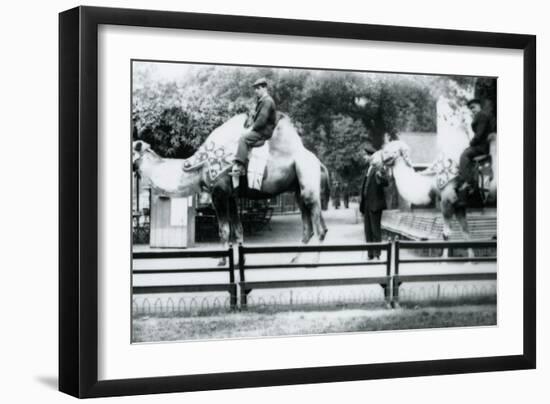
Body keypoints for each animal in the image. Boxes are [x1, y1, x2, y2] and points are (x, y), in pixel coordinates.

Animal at [134, 113, 332, 266]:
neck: (199, 167)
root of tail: (319, 163)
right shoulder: (231, 196)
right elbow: (238, 229)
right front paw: (239, 260)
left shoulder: (219, 194)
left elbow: (224, 230)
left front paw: (222, 260)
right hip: (299, 192)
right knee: (308, 229)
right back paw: (295, 259)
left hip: (309, 185)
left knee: (320, 228)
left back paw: (314, 262)